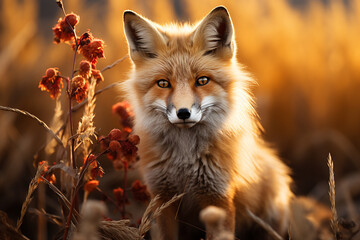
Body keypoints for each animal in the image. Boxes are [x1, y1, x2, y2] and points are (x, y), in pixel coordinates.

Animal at [122, 5, 294, 240]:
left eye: (202, 80)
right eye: (163, 83)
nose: (183, 113)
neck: (184, 161)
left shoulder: (218, 198)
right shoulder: (163, 199)